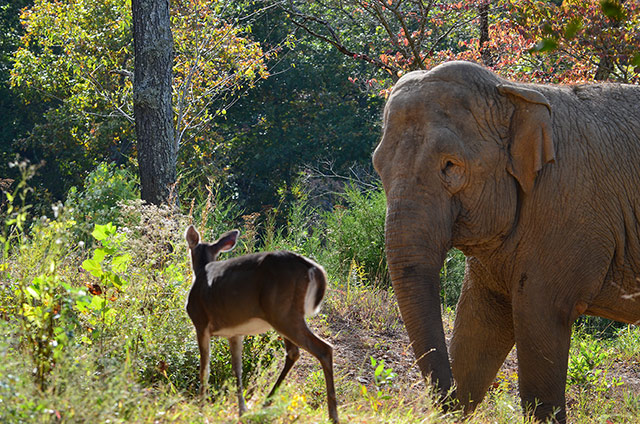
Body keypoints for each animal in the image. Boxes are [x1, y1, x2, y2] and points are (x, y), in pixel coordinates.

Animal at [184, 225, 338, 420]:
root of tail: (312, 267)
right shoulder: (235, 333)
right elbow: (237, 369)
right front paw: (242, 410)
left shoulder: (200, 323)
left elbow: (204, 369)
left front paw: (201, 409)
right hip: (285, 315)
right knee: (294, 352)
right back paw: (266, 403)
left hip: (283, 314)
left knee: (323, 349)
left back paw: (332, 415)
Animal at [372, 60, 640, 424]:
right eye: (378, 166)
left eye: (450, 166)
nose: (443, 400)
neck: (514, 91)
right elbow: (478, 326)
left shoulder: (568, 212)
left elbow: (539, 321)